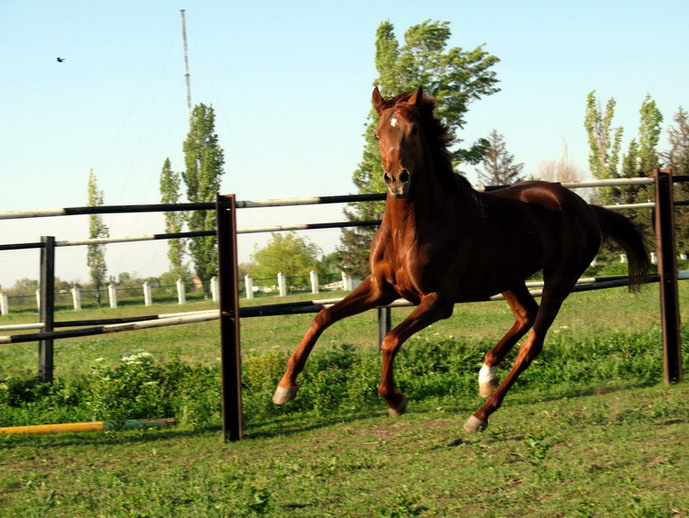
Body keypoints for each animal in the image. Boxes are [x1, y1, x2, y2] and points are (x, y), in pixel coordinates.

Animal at [273, 86, 650, 432]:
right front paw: (285, 389)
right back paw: (486, 374)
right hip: (508, 278)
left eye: (413, 131)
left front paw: (395, 400)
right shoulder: (382, 288)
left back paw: (480, 415)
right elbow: (322, 317)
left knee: (533, 343)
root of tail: (586, 207)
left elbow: (390, 339)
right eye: (378, 133)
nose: (397, 180)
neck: (414, 227)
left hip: (559, 280)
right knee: (525, 316)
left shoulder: (439, 300)